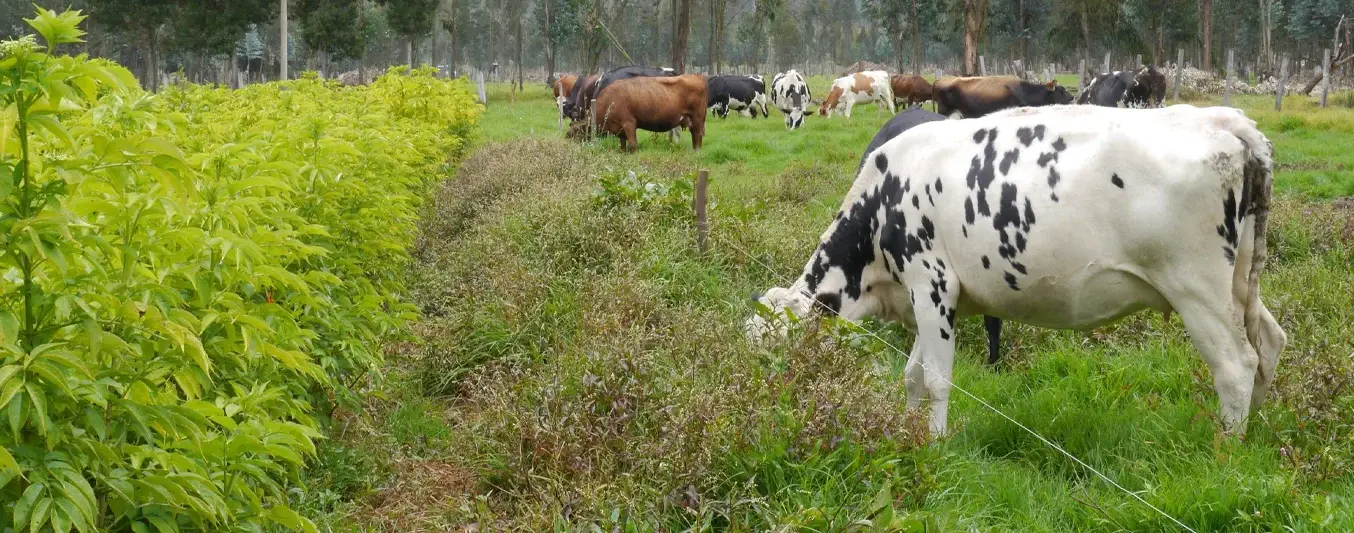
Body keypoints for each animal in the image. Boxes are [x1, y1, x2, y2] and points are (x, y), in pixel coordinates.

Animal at [565, 74, 709, 152]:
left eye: (575, 134)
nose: (568, 149)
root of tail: (696, 76)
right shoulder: (620, 129)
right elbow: (623, 145)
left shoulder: (629, 123)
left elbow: (633, 146)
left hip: (697, 120)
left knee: (697, 137)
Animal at [747, 104, 1283, 438]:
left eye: (777, 352)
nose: (765, 409)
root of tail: (1225, 119)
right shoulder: (926, 300)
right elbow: (913, 375)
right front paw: (909, 431)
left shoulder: (931, 283)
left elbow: (936, 379)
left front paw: (934, 445)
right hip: (1238, 282)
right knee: (1270, 342)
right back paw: (1257, 430)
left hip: (1196, 286)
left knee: (1236, 365)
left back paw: (1226, 449)